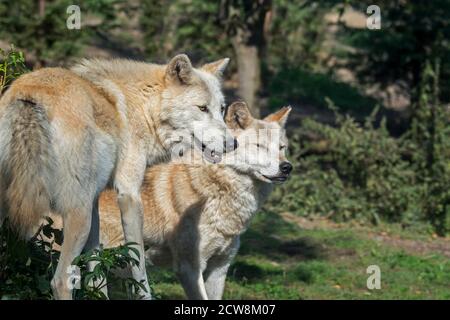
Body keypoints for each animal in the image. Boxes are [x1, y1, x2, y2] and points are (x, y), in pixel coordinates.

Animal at [0, 53, 236, 298]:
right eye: (202, 108)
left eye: (221, 108)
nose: (233, 143)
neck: (145, 108)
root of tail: (30, 96)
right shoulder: (129, 195)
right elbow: (138, 265)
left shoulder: (95, 201)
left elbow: (96, 267)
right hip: (78, 214)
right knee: (60, 280)